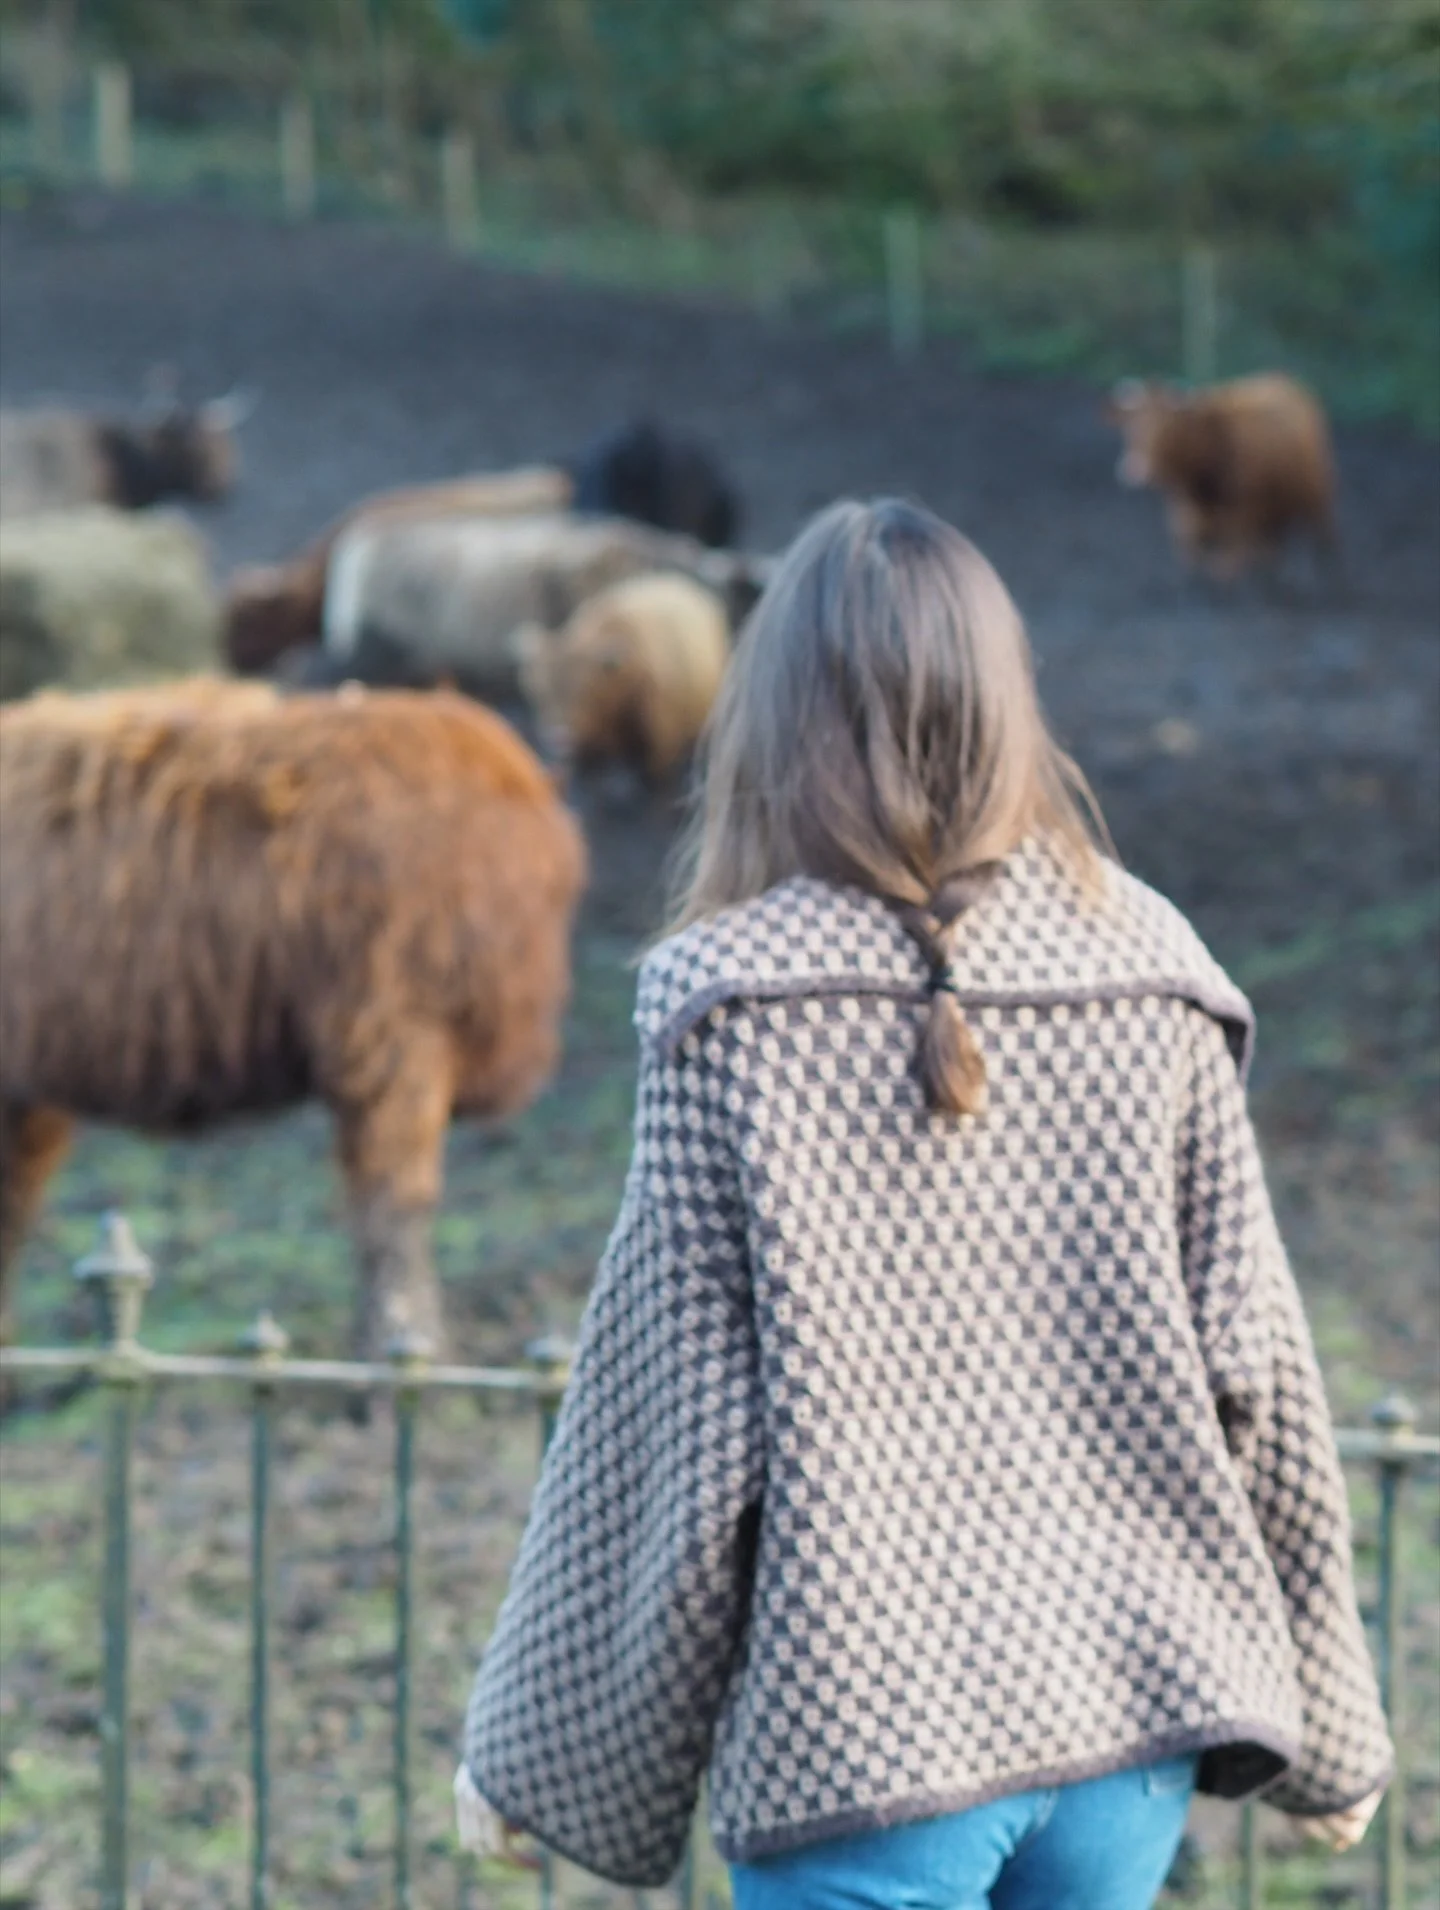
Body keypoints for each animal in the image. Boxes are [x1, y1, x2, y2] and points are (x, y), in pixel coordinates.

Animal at [1105, 373, 1337, 579]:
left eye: (1166, 427)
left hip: (1317, 490)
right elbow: (1196, 559)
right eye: (1128, 426)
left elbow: (1224, 570)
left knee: (1324, 536)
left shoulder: (1240, 521)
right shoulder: (1188, 520)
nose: (1135, 470)